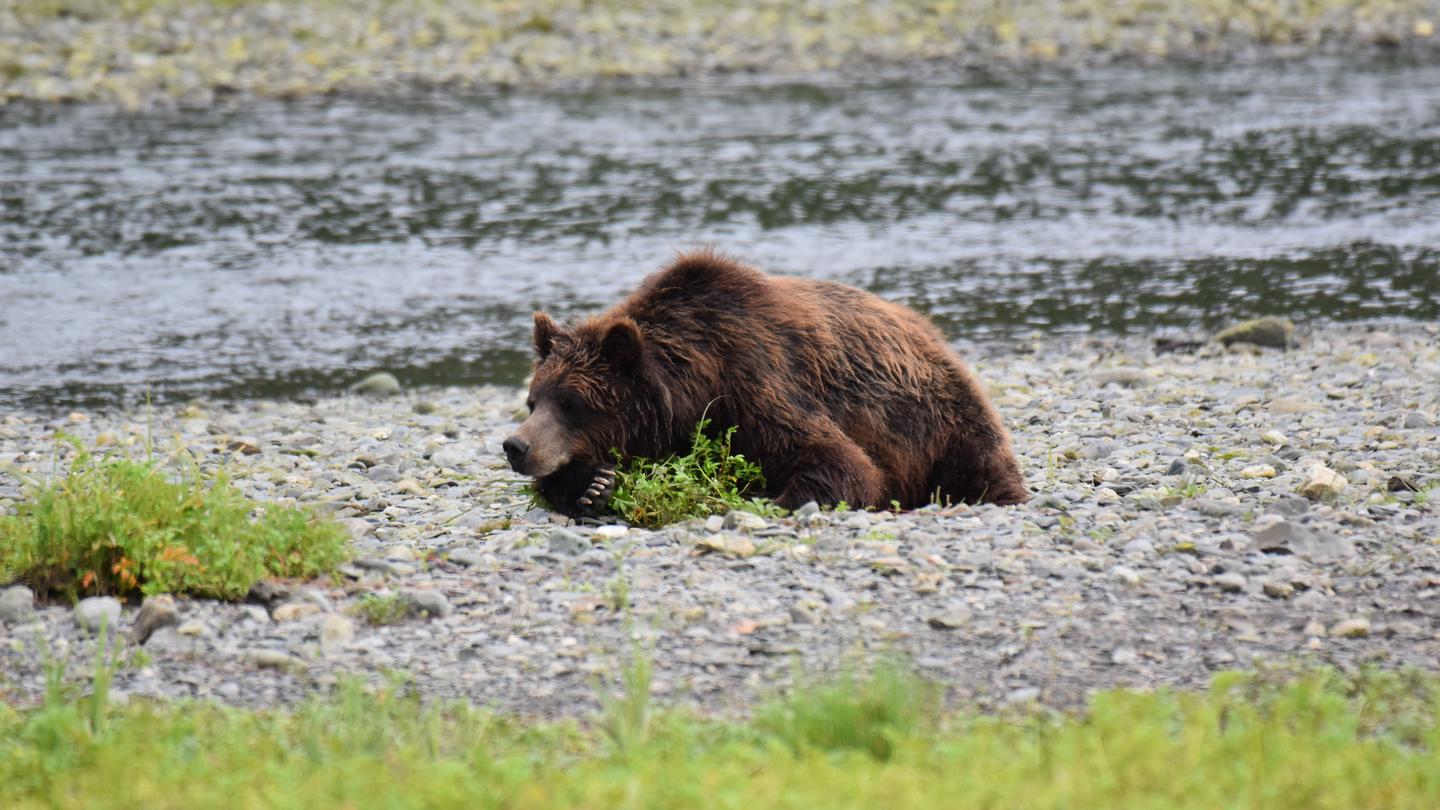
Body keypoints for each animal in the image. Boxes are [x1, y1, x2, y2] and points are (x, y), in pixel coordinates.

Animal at [501, 247, 1031, 515]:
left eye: (573, 402)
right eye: (533, 401)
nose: (516, 446)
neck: (695, 383)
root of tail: (931, 331)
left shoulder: (756, 383)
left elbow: (839, 462)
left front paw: (767, 495)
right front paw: (593, 485)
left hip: (938, 420)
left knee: (976, 466)